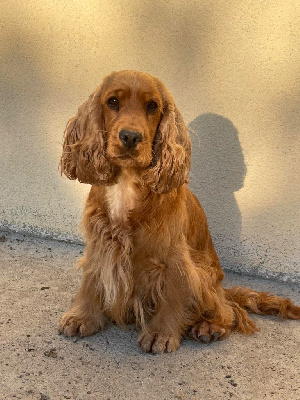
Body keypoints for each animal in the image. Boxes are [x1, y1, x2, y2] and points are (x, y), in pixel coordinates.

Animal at [57, 69, 298, 354]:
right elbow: (92, 281)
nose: (130, 137)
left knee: (229, 310)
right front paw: (82, 316)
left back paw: (210, 326)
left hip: (206, 278)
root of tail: (222, 289)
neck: (127, 183)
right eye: (112, 102)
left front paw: (160, 334)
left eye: (153, 106)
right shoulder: (100, 242)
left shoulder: (174, 256)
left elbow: (172, 295)